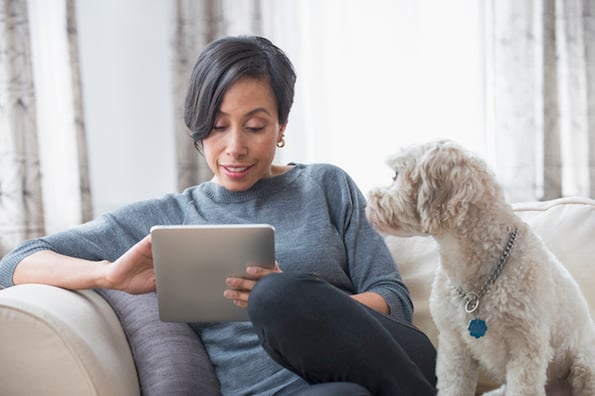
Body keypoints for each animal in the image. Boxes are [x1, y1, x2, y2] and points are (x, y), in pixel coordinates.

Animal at [366, 141, 592, 394]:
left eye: (396, 175)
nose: (369, 200)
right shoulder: (454, 346)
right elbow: (452, 387)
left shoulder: (527, 349)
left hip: (584, 366)